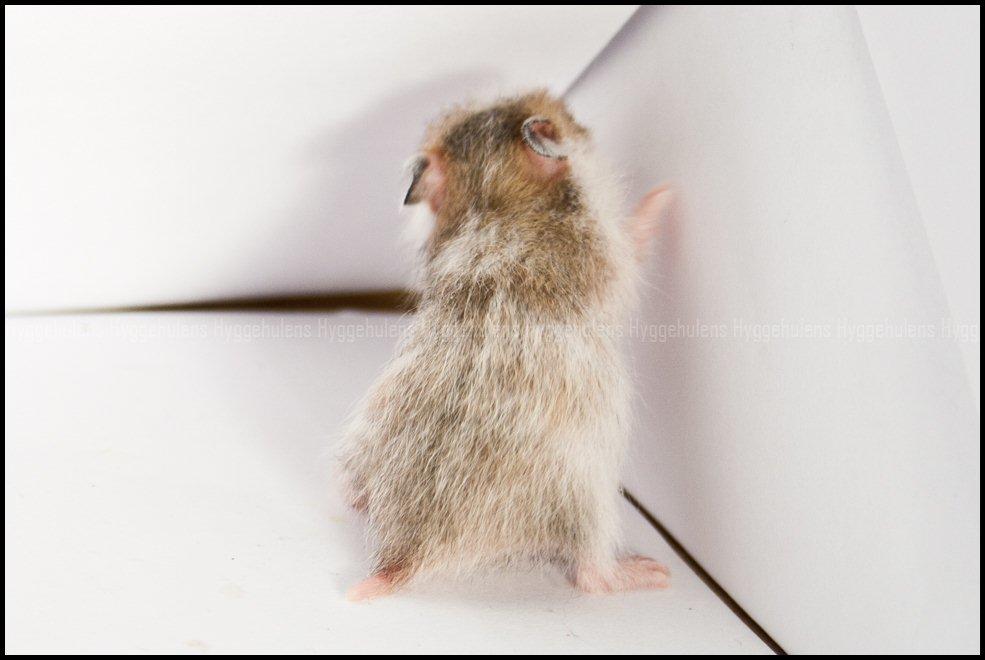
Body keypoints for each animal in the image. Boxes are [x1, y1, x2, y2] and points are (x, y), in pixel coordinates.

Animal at [341, 90, 673, 600]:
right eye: (564, 118)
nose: (566, 105)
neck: (495, 201)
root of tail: (401, 556)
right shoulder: (608, 252)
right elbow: (634, 239)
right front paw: (667, 193)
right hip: (587, 496)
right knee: (591, 574)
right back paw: (650, 573)